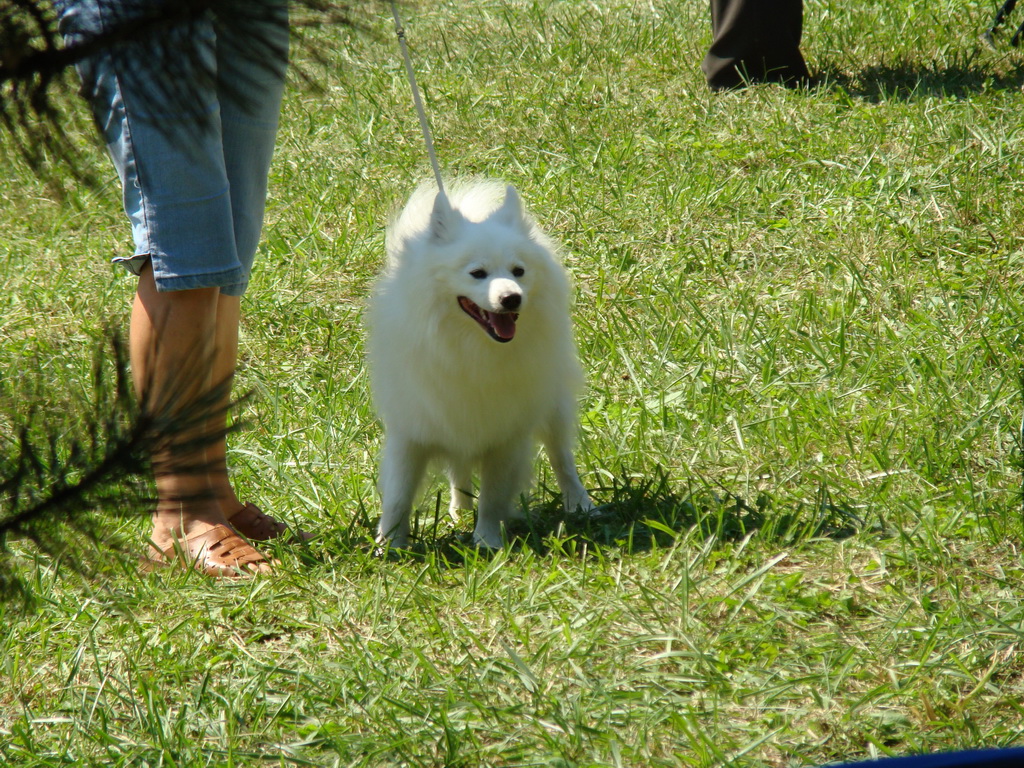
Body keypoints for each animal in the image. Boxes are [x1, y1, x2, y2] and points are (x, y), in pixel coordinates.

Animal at [366, 180, 593, 548]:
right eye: (477, 273)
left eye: (518, 271)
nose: (511, 298)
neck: (471, 349)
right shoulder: (413, 430)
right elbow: (399, 496)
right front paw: (388, 546)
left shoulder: (506, 435)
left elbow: (494, 496)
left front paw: (487, 542)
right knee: (458, 470)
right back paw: (459, 510)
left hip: (553, 408)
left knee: (562, 459)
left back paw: (580, 502)